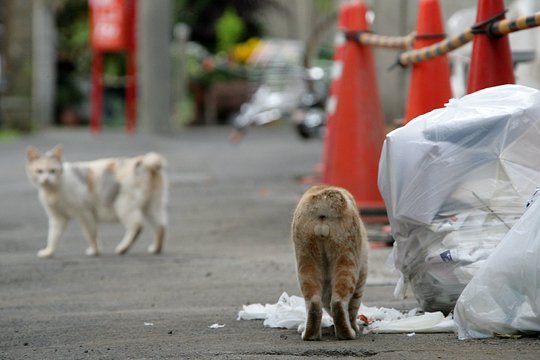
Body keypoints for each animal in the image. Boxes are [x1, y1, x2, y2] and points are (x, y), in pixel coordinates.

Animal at [25, 145, 168, 258]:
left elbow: (90, 234)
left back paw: (123, 248)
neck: (53, 190)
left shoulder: (83, 213)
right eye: (39, 171)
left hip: (124, 205)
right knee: (161, 226)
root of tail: (144, 162)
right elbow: (53, 236)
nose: (46, 179)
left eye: (53, 171)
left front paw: (94, 251)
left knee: (137, 226)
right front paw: (48, 252)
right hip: (152, 205)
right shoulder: (57, 218)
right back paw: (156, 249)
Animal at [294, 186, 370, 340]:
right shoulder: (362, 276)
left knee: (313, 302)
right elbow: (353, 307)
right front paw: (355, 326)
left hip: (306, 258)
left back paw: (310, 334)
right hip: (347, 258)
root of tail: (323, 197)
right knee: (339, 302)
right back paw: (347, 333)